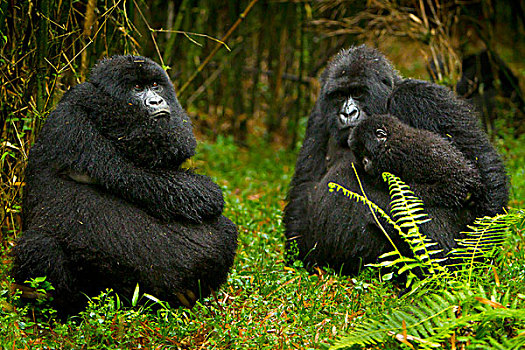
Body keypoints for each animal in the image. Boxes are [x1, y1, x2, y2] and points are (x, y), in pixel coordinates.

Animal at [11, 55, 237, 314]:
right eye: (137, 88)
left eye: (155, 85)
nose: (156, 100)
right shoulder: (73, 126)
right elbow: (150, 180)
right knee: (38, 245)